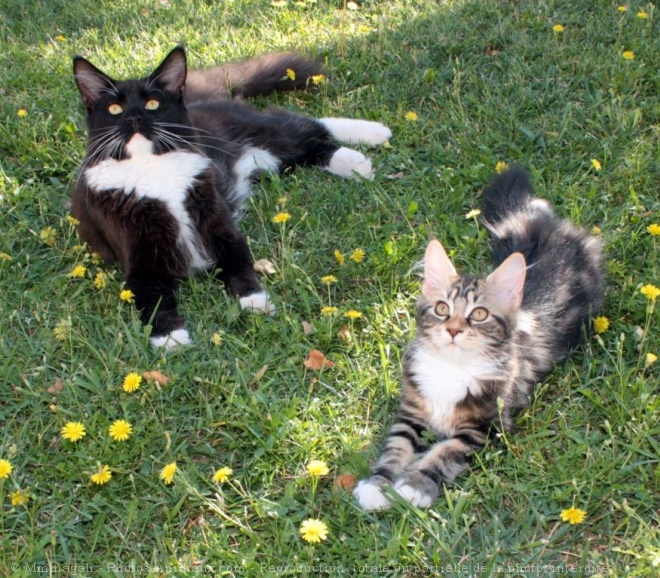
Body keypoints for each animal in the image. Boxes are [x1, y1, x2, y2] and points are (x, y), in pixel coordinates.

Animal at [72, 46, 392, 346]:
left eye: (152, 104)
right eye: (115, 109)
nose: (135, 117)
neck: (151, 168)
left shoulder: (222, 230)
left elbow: (239, 268)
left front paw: (256, 302)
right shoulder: (141, 262)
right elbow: (153, 300)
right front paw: (170, 337)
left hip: (259, 132)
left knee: (303, 123)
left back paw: (371, 137)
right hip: (269, 161)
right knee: (309, 145)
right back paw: (357, 160)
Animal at [354, 166, 604, 508]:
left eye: (479, 314)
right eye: (442, 309)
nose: (454, 329)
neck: (451, 368)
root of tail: (542, 223)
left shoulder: (485, 428)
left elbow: (443, 453)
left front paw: (415, 485)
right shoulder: (410, 413)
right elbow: (395, 448)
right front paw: (377, 485)